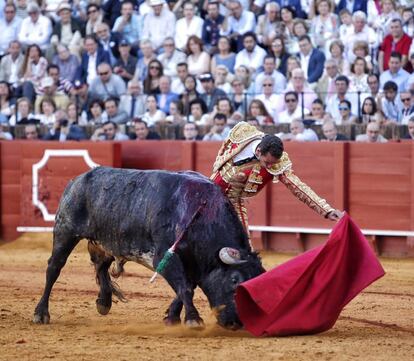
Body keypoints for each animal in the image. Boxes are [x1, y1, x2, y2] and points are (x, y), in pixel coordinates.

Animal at [33, 167, 266, 330]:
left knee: (101, 267)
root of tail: (76, 181)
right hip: (65, 231)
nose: (236, 323)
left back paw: (104, 302)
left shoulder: (192, 264)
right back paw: (41, 313)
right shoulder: (165, 257)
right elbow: (185, 288)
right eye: (234, 280)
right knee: (54, 268)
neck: (200, 212)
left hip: (106, 240)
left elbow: (184, 288)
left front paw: (172, 317)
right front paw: (193, 320)